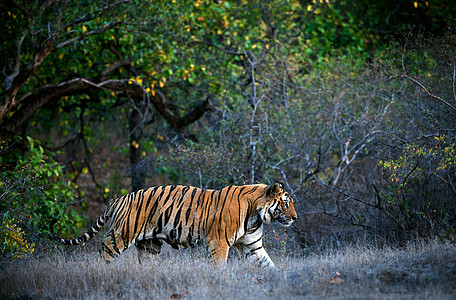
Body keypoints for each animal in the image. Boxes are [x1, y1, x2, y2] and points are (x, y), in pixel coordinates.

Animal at [51, 180, 298, 268]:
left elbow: (269, 265)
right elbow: (219, 268)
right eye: (286, 203)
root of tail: (119, 198)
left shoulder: (252, 246)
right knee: (103, 255)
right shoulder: (218, 243)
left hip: (149, 245)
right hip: (120, 235)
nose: (295, 217)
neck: (256, 215)